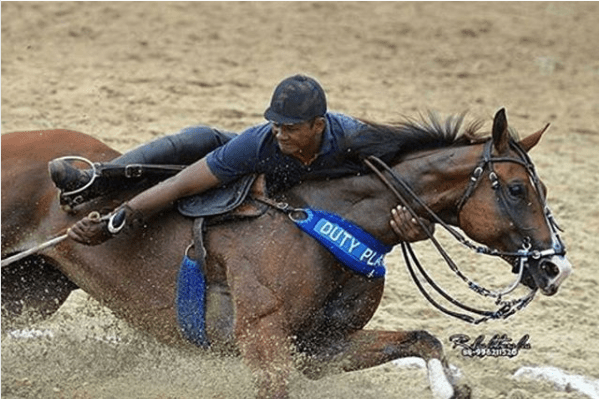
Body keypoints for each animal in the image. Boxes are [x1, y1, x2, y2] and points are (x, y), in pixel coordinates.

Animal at [0, 109, 572, 399]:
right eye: (517, 189)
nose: (555, 266)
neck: (322, 219)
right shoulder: (264, 340)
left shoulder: (319, 347)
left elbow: (423, 338)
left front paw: (450, 388)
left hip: (30, 291)